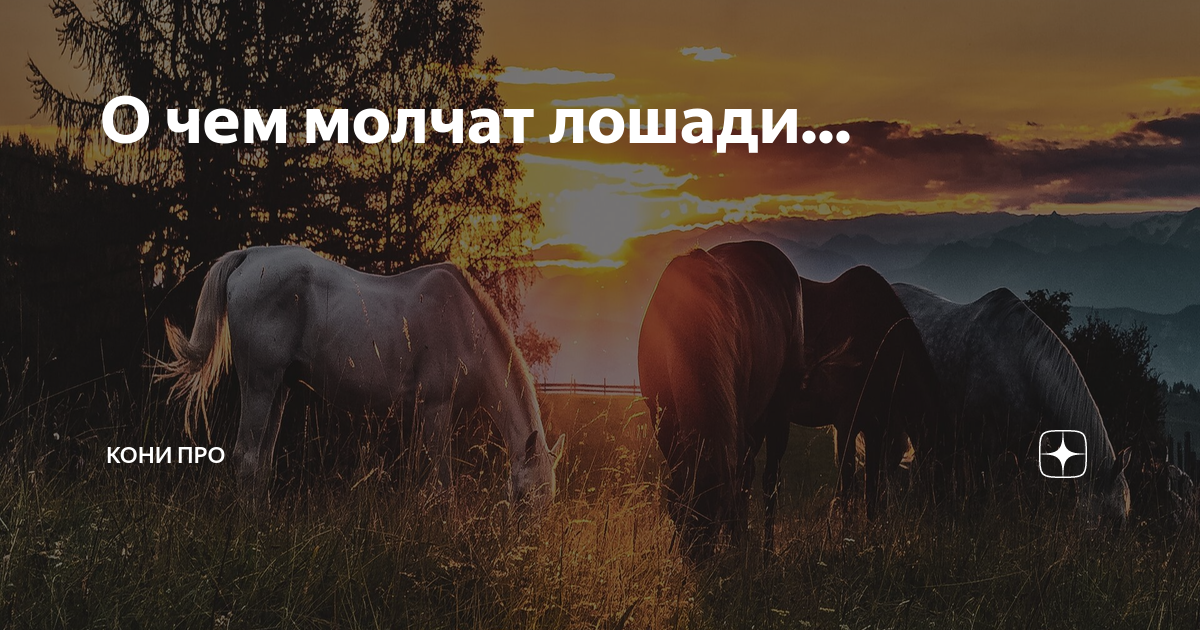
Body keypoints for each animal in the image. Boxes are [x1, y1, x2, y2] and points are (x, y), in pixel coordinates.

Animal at [158, 245, 564, 510]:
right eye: (524, 499)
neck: (465, 325)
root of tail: (250, 256)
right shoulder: (436, 409)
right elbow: (442, 485)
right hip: (259, 382)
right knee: (246, 458)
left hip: (280, 388)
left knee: (262, 462)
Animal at [638, 241, 805, 557]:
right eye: (678, 515)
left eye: (716, 516)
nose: (698, 560)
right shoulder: (663, 420)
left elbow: (741, 487)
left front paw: (737, 542)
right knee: (749, 475)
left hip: (779, 412)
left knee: (768, 481)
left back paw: (764, 550)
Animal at [893, 283, 1131, 528]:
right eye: (1114, 520)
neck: (1017, 363)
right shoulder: (983, 442)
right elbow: (982, 490)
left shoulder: (1025, 445)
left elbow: (1029, 493)